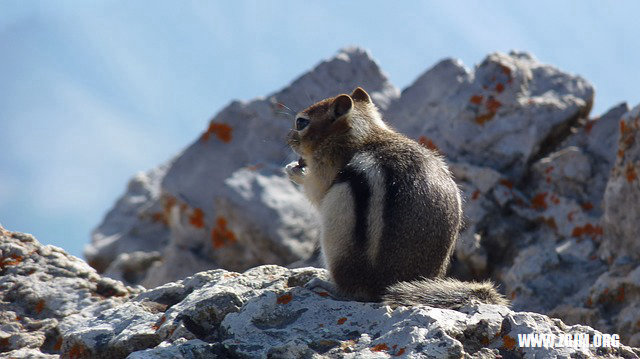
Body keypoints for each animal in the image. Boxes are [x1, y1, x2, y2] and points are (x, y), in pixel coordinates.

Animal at [288, 87, 508, 310]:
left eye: (301, 122)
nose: (288, 139)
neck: (364, 134)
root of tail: (382, 288)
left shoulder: (327, 167)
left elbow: (316, 190)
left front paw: (294, 170)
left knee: (352, 292)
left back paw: (324, 283)